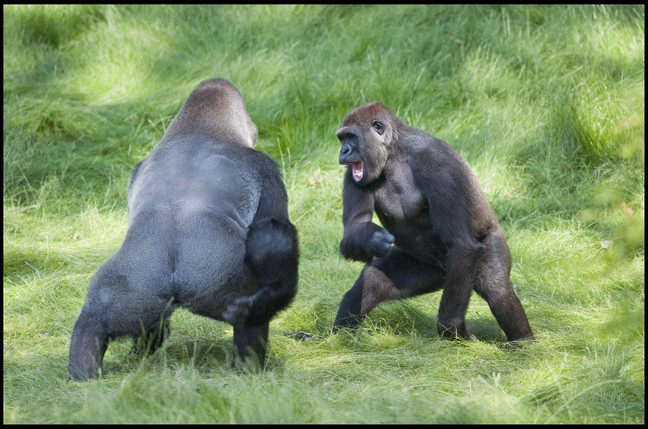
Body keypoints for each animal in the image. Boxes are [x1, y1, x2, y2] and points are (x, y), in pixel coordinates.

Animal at [68, 78, 298, 380]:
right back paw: (248, 369)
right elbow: (273, 231)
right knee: (251, 317)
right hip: (223, 281)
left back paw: (86, 372)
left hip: (134, 287)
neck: (197, 129)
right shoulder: (265, 168)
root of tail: (175, 278)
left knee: (93, 319)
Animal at [332, 102, 536, 342]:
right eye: (342, 139)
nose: (343, 151)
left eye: (351, 137)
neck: (394, 153)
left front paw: (452, 327)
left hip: (484, 247)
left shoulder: (439, 166)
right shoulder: (354, 172)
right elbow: (355, 229)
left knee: (496, 288)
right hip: (435, 270)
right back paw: (336, 338)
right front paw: (372, 239)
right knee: (372, 281)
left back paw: (523, 342)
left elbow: (461, 244)